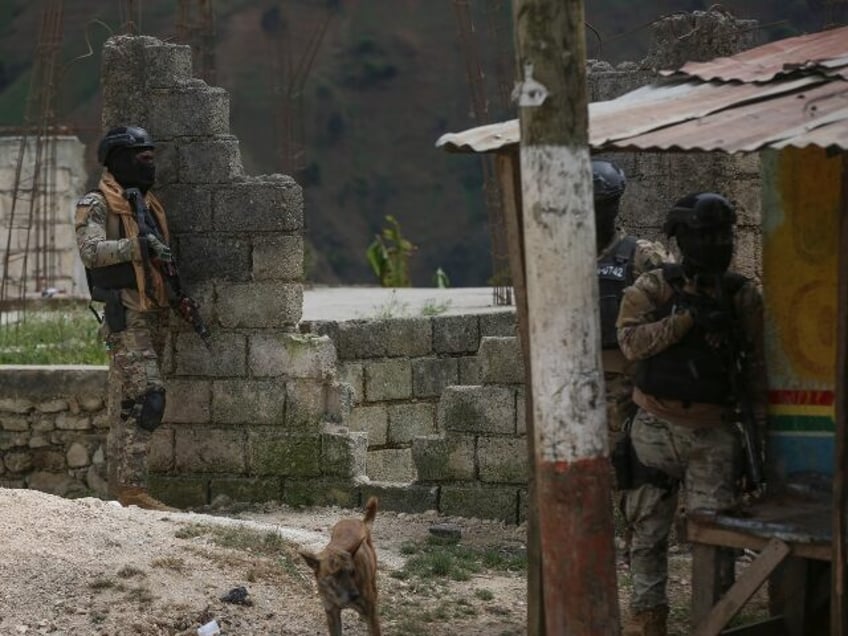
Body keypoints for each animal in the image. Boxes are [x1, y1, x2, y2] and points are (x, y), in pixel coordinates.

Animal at [296, 496, 380, 636]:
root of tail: (359, 521)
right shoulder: (332, 613)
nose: (355, 595)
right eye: (335, 574)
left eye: (353, 572)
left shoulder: (371, 615)